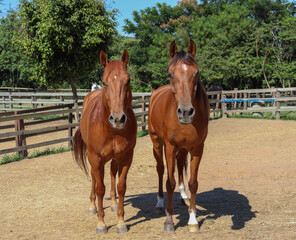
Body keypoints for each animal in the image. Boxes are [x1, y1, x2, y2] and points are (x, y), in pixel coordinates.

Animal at [72, 49, 137, 234]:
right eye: (104, 82)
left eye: (128, 80)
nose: (118, 118)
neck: (111, 130)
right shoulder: (96, 158)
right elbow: (100, 188)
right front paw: (101, 223)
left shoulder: (126, 157)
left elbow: (121, 186)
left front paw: (121, 222)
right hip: (93, 158)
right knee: (95, 179)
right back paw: (92, 206)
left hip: (115, 158)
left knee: (112, 174)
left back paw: (114, 204)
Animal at [147, 40, 208, 232]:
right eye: (170, 73)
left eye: (196, 73)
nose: (186, 112)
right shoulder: (170, 146)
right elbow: (169, 182)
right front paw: (169, 221)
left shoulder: (197, 149)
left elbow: (193, 182)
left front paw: (193, 219)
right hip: (157, 143)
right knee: (161, 170)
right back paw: (160, 203)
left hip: (182, 148)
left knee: (180, 165)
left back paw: (183, 196)